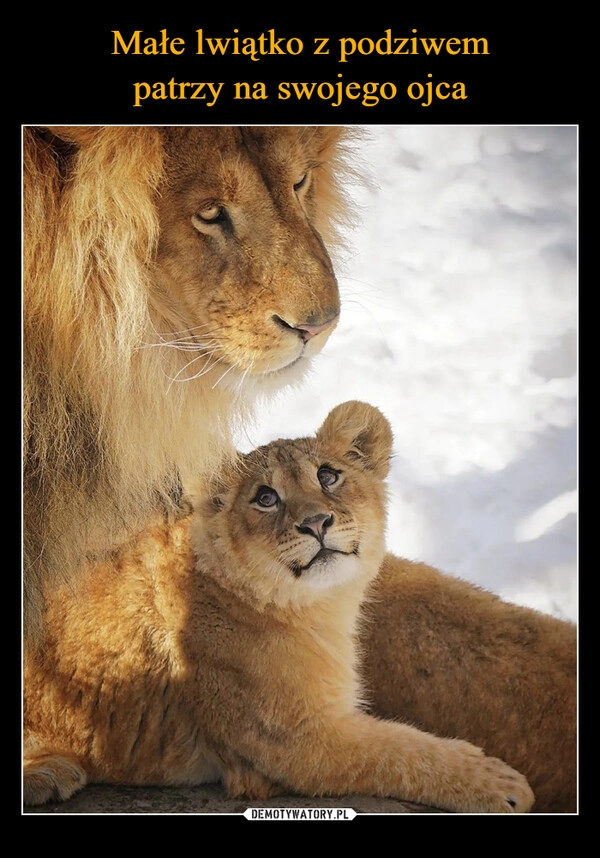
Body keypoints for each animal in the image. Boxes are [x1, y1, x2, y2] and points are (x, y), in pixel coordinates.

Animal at [23, 125, 576, 808]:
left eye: (329, 476)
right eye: (265, 498)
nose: (315, 524)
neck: (317, 614)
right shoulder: (295, 744)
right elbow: (403, 751)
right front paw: (498, 781)